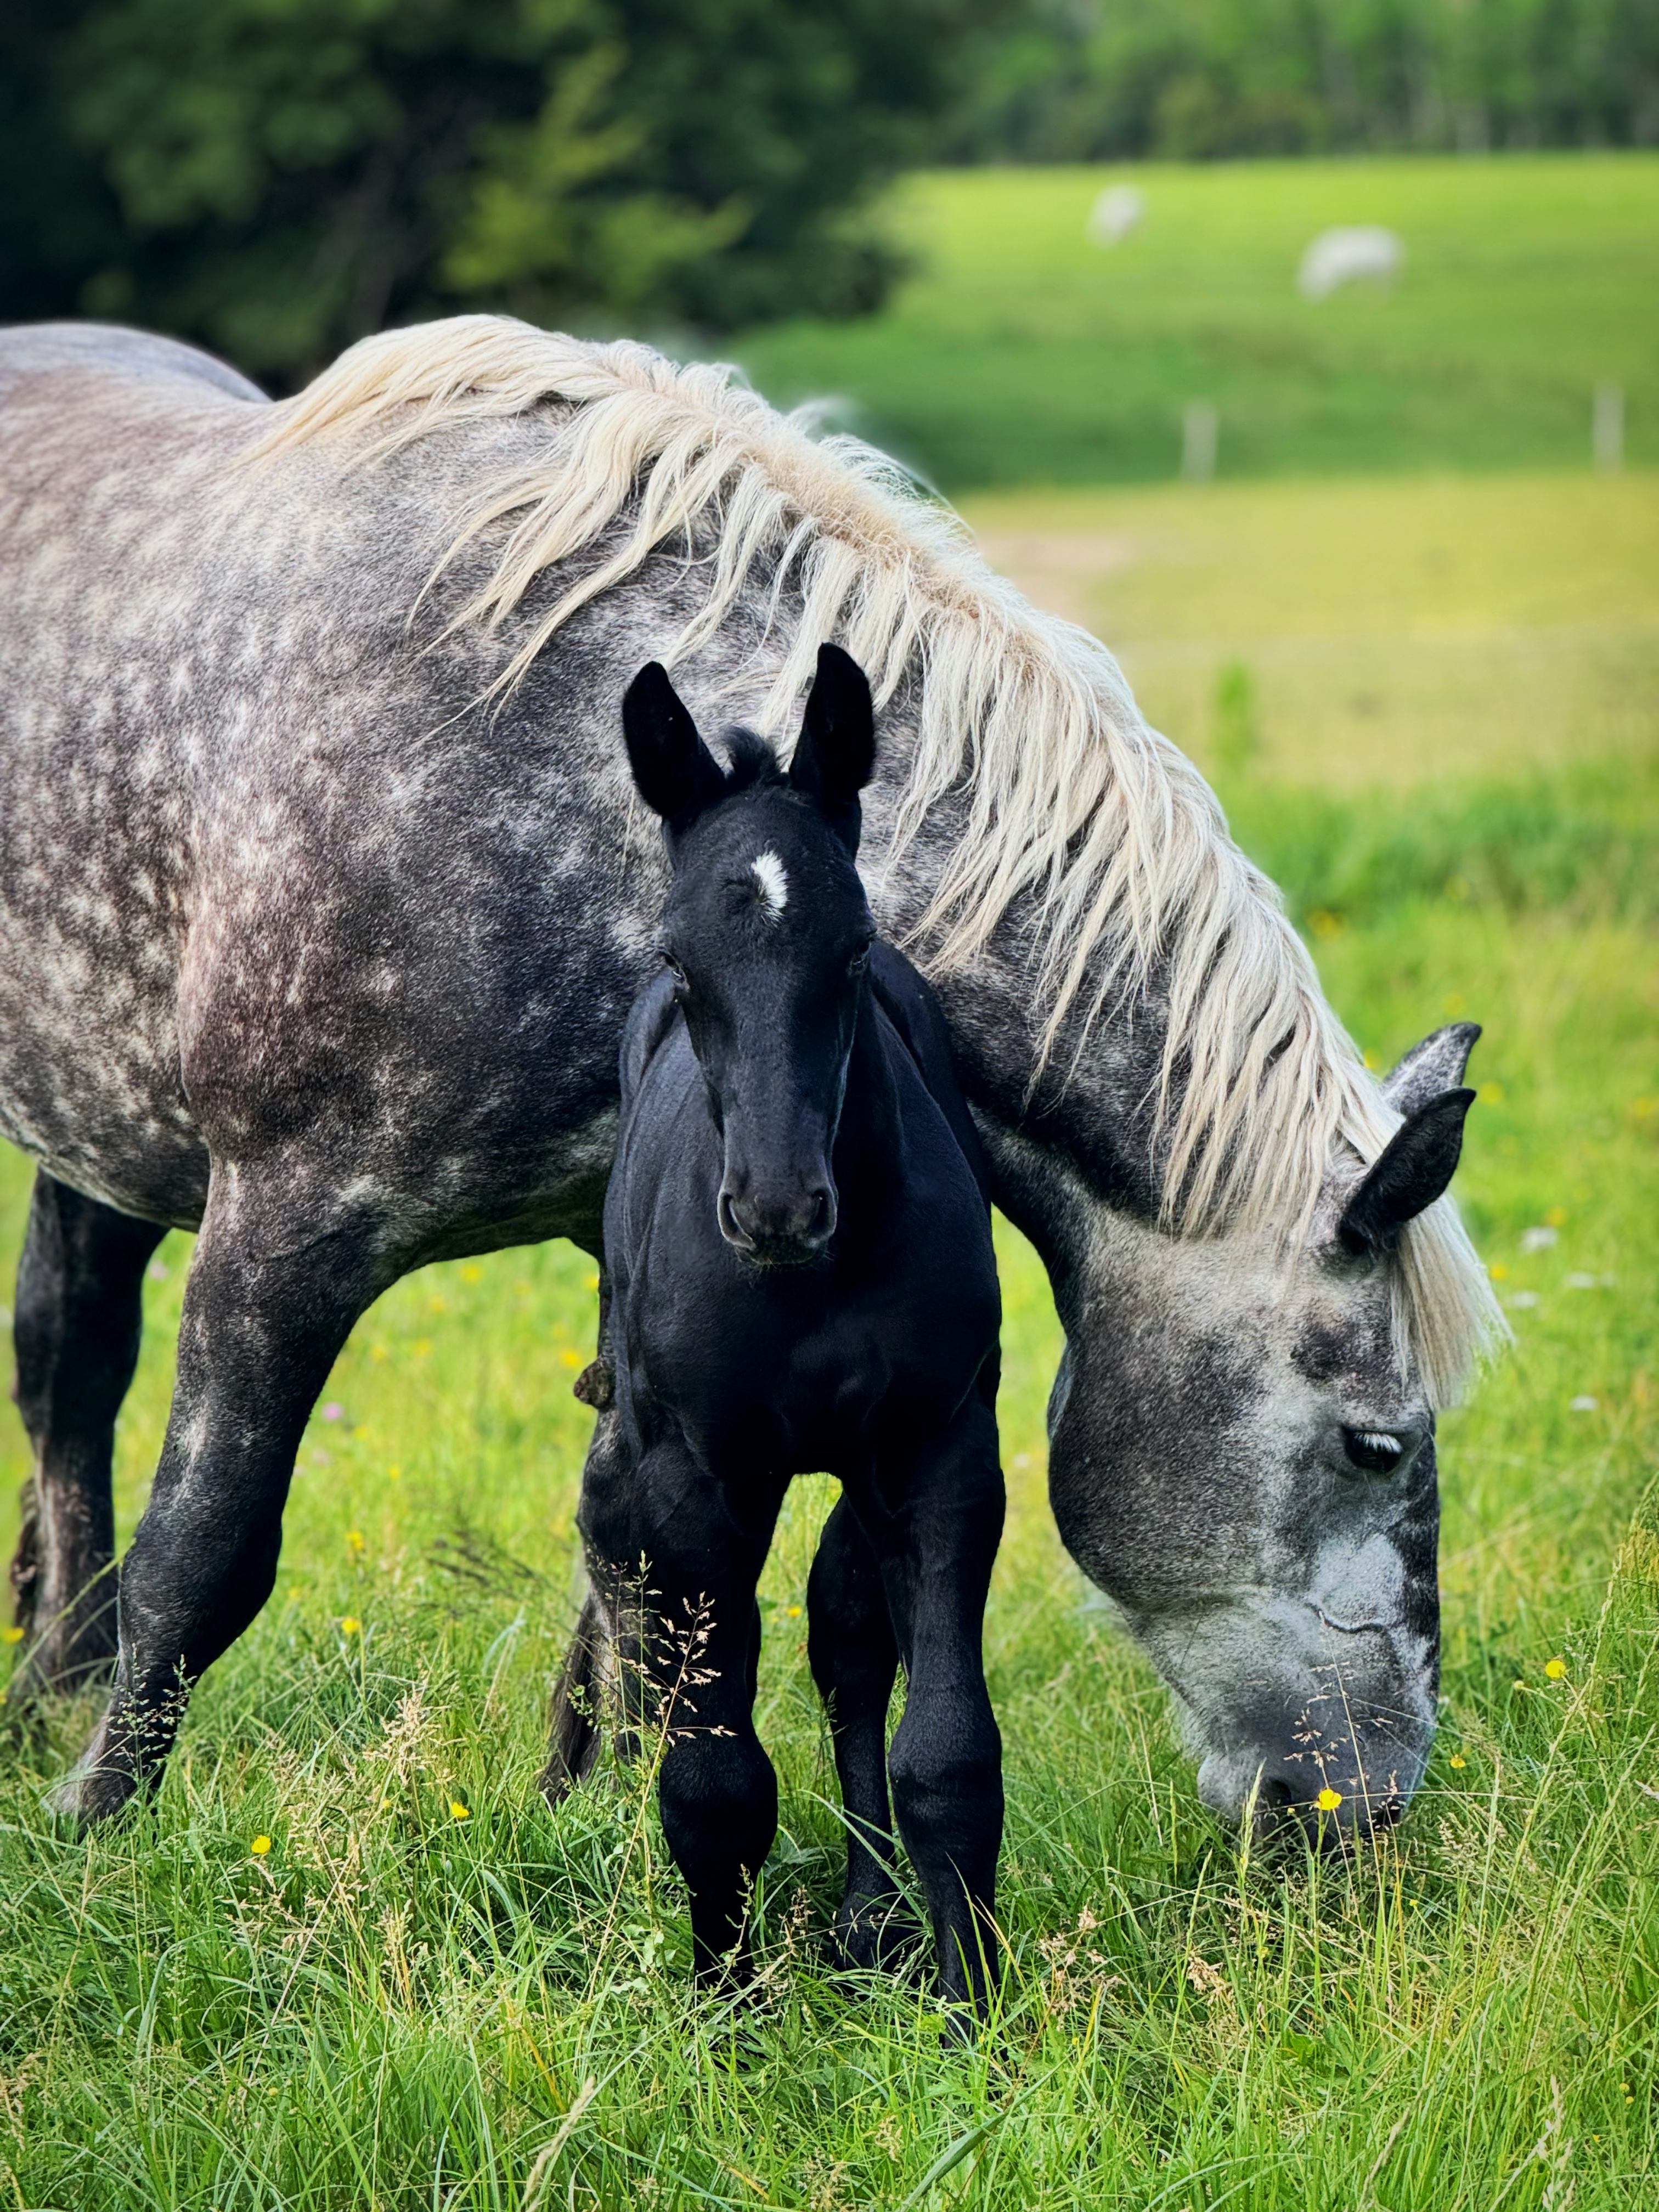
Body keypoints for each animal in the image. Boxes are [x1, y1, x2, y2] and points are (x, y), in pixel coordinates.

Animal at [0, 315, 1504, 1842]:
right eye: (1375, 1446)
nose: (1369, 1807)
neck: (541, 761)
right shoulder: (283, 1228)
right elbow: (210, 1547)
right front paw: (97, 1822)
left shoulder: (631, 1258)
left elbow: (634, 1564)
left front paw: (596, 1805)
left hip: (106, 1132)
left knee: (72, 1357)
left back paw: (56, 1675)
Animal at [548, 645, 1004, 2006]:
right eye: (680, 961)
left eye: (852, 953)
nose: (778, 1207)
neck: (807, 1288)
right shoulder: (697, 1476)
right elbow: (712, 1778)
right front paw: (725, 2009)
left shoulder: (937, 1448)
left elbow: (944, 1752)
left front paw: (972, 2009)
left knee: (849, 1640)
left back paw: (871, 1922)